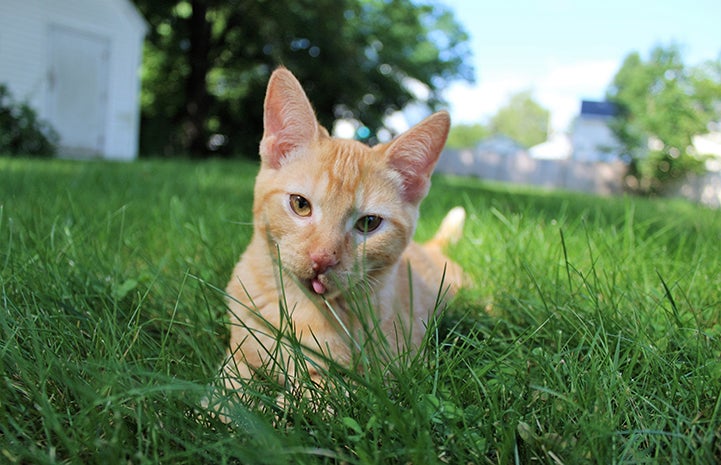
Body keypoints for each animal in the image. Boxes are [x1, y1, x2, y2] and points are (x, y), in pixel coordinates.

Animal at [222, 66, 464, 392]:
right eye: (300, 204)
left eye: (368, 223)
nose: (322, 259)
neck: (303, 307)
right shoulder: (239, 349)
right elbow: (228, 385)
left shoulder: (382, 375)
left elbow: (314, 394)